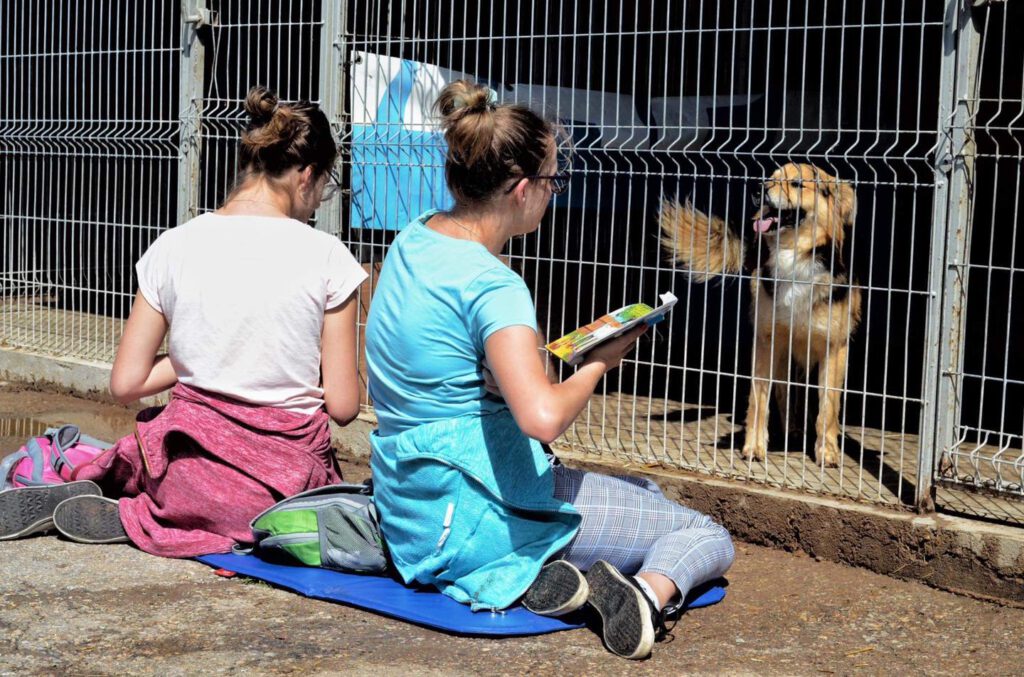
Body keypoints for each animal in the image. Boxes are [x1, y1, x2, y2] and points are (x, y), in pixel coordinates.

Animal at [659, 163, 860, 464]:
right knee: (784, 392)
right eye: (771, 179)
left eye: (797, 183)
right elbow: (758, 399)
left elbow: (828, 407)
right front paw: (753, 446)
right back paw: (791, 429)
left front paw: (827, 451)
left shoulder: (834, 347)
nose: (757, 188)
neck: (795, 257)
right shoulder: (767, 340)